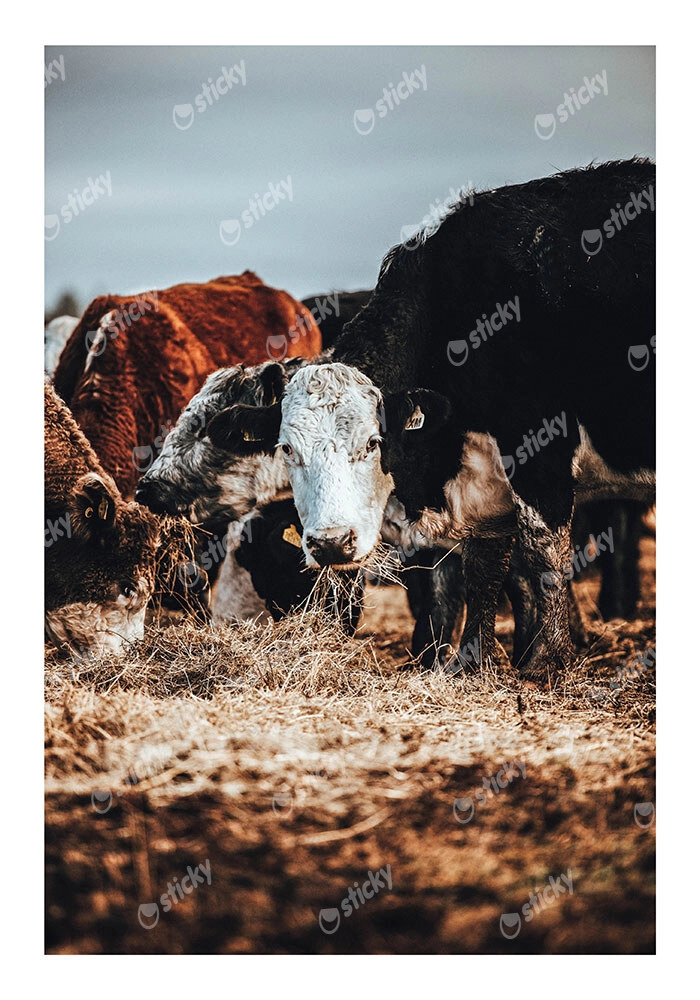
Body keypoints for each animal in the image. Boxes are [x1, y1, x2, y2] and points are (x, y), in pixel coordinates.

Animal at [206, 160, 656, 680]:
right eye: (286, 448)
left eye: (374, 443)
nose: (331, 543)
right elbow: (478, 571)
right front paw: (464, 662)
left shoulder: (539, 443)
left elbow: (541, 552)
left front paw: (546, 661)